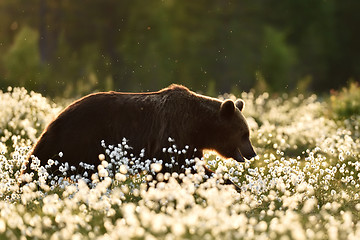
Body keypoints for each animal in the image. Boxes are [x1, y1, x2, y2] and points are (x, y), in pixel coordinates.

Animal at [21, 84, 256, 184]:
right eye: (244, 133)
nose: (252, 153)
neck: (198, 127)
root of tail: (58, 114)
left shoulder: (189, 144)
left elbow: (192, 167)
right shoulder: (173, 135)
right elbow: (174, 167)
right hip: (80, 138)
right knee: (43, 161)